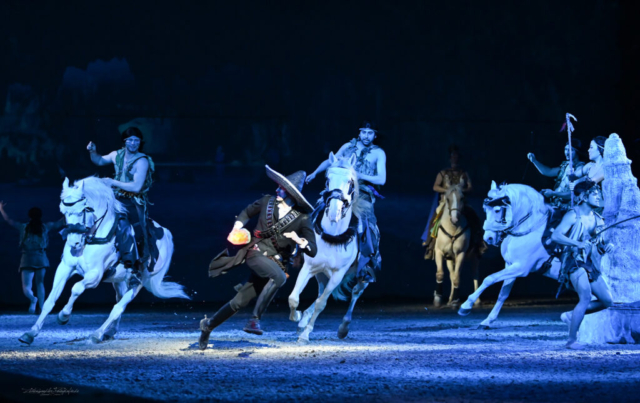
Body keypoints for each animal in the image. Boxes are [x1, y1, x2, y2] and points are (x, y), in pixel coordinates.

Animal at [18, 178, 189, 346]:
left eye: (84, 210)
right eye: (64, 212)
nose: (74, 243)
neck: (91, 238)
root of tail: (166, 234)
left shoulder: (95, 275)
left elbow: (76, 288)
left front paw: (63, 316)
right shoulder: (65, 268)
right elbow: (50, 300)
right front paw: (30, 334)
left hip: (140, 280)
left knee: (118, 307)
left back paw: (97, 334)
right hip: (119, 280)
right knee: (119, 302)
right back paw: (109, 333)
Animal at [288, 154, 368, 344]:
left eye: (350, 182)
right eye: (327, 180)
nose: (334, 212)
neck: (333, 237)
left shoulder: (338, 275)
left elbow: (321, 303)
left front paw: (305, 335)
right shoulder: (309, 267)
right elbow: (294, 298)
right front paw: (297, 317)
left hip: (362, 273)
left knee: (356, 292)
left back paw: (343, 327)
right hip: (321, 274)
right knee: (321, 291)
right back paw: (303, 319)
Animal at [430, 178, 480, 308]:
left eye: (462, 198)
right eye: (447, 199)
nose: (455, 219)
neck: (453, 228)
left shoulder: (460, 253)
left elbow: (457, 278)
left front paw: (455, 301)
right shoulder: (439, 252)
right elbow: (441, 273)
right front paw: (438, 299)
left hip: (474, 256)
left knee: (475, 274)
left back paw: (476, 301)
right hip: (450, 259)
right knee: (451, 275)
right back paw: (449, 299)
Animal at [458, 182, 556, 328]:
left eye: (497, 210)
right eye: (485, 210)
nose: (488, 238)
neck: (530, 229)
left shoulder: (521, 268)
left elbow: (489, 279)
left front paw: (466, 306)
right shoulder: (511, 266)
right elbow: (503, 294)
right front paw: (488, 320)